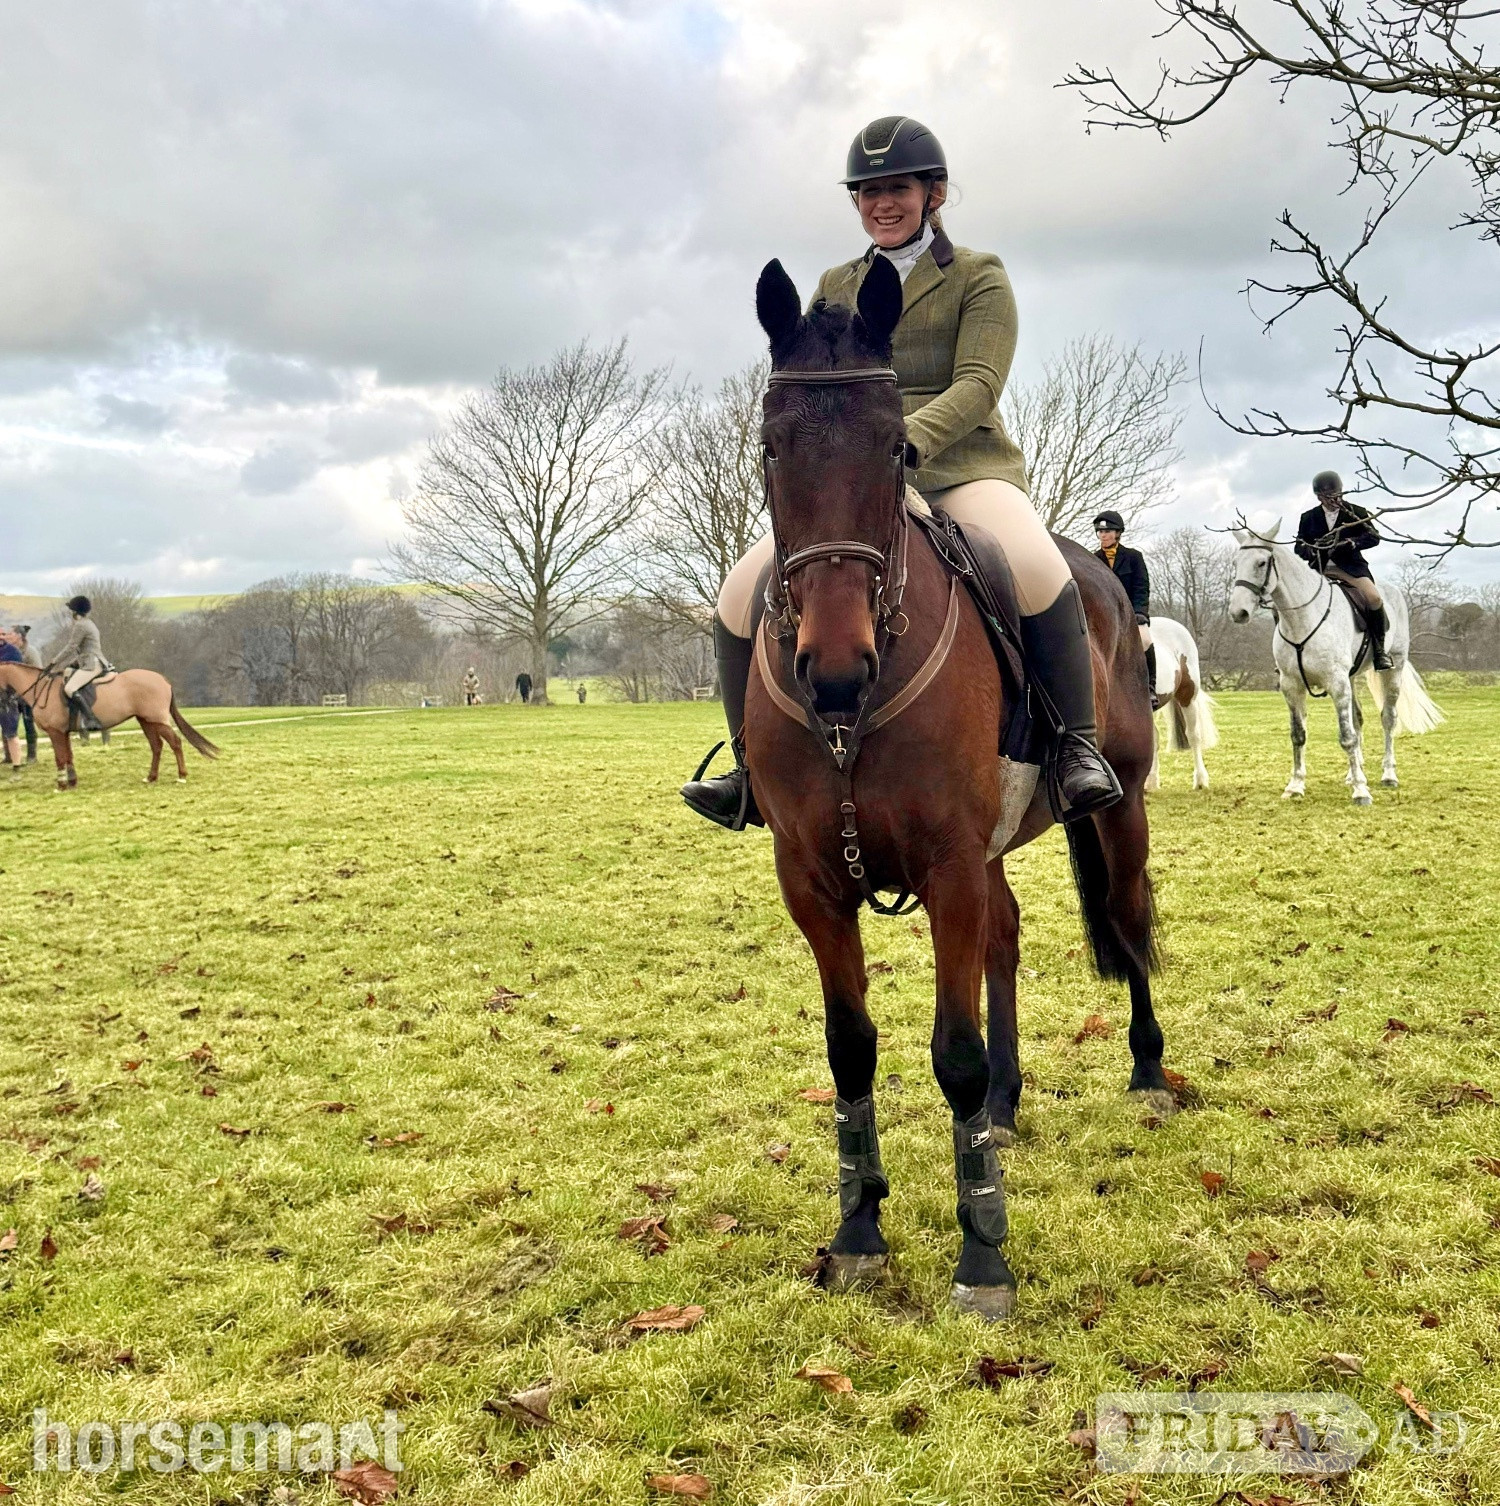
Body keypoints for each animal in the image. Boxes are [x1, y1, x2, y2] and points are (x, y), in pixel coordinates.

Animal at [0, 665, 219, 789]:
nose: (6, 704)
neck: (41, 689)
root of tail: (162, 679)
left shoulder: (56, 733)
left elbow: (60, 757)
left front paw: (61, 784)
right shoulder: (64, 733)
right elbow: (68, 756)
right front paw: (72, 781)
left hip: (157, 720)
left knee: (175, 742)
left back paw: (181, 776)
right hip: (146, 721)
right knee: (157, 746)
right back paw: (151, 777)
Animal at [744, 255, 1169, 1322]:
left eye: (897, 448)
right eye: (770, 449)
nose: (834, 672)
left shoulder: (945, 869)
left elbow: (953, 1054)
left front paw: (983, 1254)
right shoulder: (812, 883)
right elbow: (851, 1048)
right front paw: (860, 1229)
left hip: (1120, 810)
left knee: (1129, 916)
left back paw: (1149, 1072)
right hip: (988, 856)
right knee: (1008, 935)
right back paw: (1006, 1110)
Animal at [1228, 518, 1443, 803]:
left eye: (1262, 562)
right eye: (1236, 562)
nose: (1237, 612)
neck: (1302, 619)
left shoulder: (1337, 683)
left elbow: (1347, 736)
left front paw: (1361, 792)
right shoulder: (1292, 685)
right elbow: (1299, 735)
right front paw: (1295, 786)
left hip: (1392, 669)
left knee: (1388, 718)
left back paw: (1388, 775)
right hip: (1351, 678)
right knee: (1358, 717)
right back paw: (1354, 773)